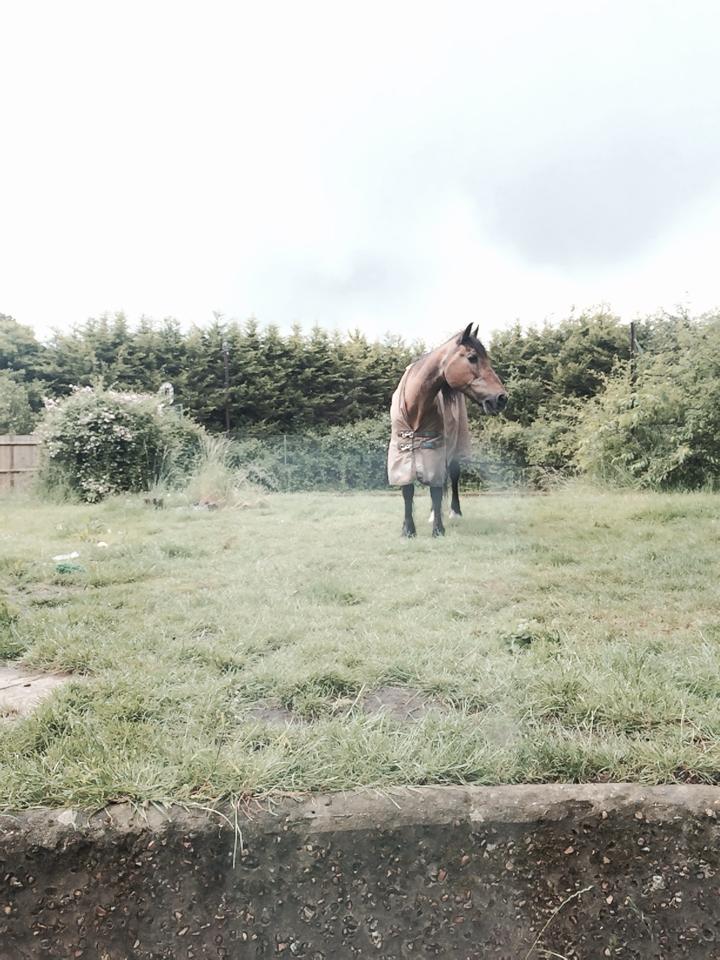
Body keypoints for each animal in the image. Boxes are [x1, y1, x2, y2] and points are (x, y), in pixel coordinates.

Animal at [387, 323, 507, 537]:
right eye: (472, 357)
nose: (501, 398)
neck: (415, 407)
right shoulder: (401, 452)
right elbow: (407, 491)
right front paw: (408, 530)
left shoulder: (434, 449)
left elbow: (435, 491)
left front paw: (438, 530)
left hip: (455, 447)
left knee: (452, 476)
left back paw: (453, 513)